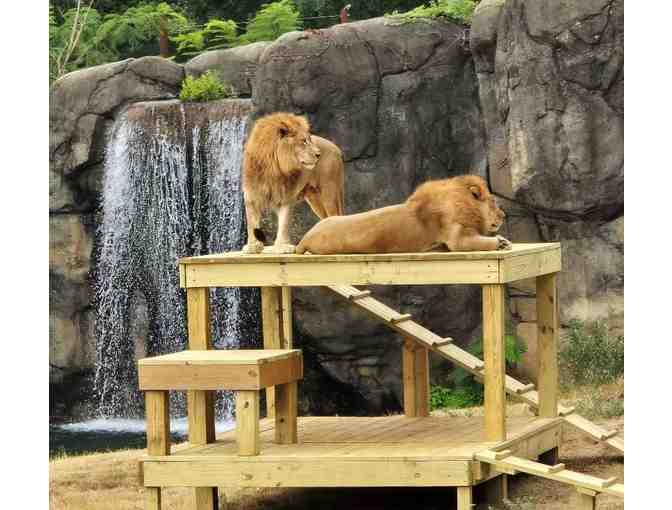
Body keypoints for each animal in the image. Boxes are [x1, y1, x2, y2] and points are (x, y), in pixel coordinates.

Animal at [242, 112, 344, 254]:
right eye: (304, 141)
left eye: (309, 139)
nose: (319, 154)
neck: (272, 167)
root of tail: (336, 148)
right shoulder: (251, 195)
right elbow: (251, 222)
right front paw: (252, 246)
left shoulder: (285, 196)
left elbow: (283, 223)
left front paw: (282, 247)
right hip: (314, 199)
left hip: (329, 192)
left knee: (335, 216)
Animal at [296, 175, 512, 255]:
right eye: (494, 202)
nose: (504, 216)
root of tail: (303, 239)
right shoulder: (457, 237)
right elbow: (474, 241)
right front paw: (501, 242)